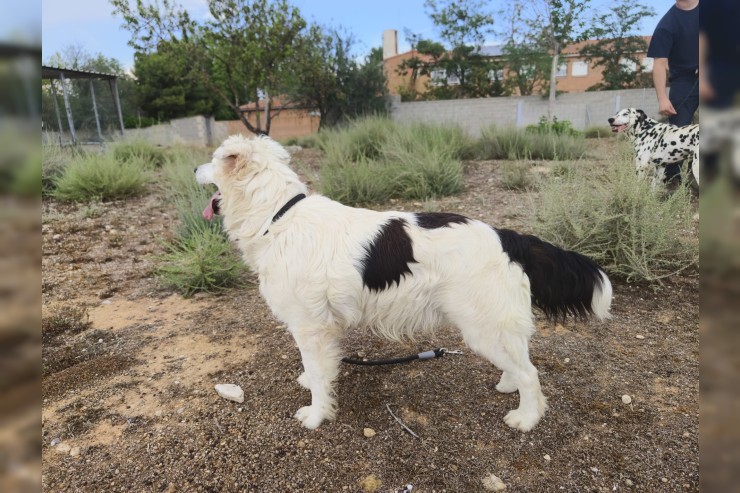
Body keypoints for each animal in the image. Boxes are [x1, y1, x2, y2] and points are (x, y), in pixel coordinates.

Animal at [195, 135, 612, 430]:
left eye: (213, 159)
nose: (195, 169)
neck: (279, 215)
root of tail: (508, 236)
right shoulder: (320, 329)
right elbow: (318, 370)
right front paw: (311, 386)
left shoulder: (310, 326)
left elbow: (317, 374)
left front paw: (315, 416)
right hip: (494, 326)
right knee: (520, 361)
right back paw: (509, 385)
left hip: (483, 328)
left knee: (531, 374)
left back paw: (526, 418)